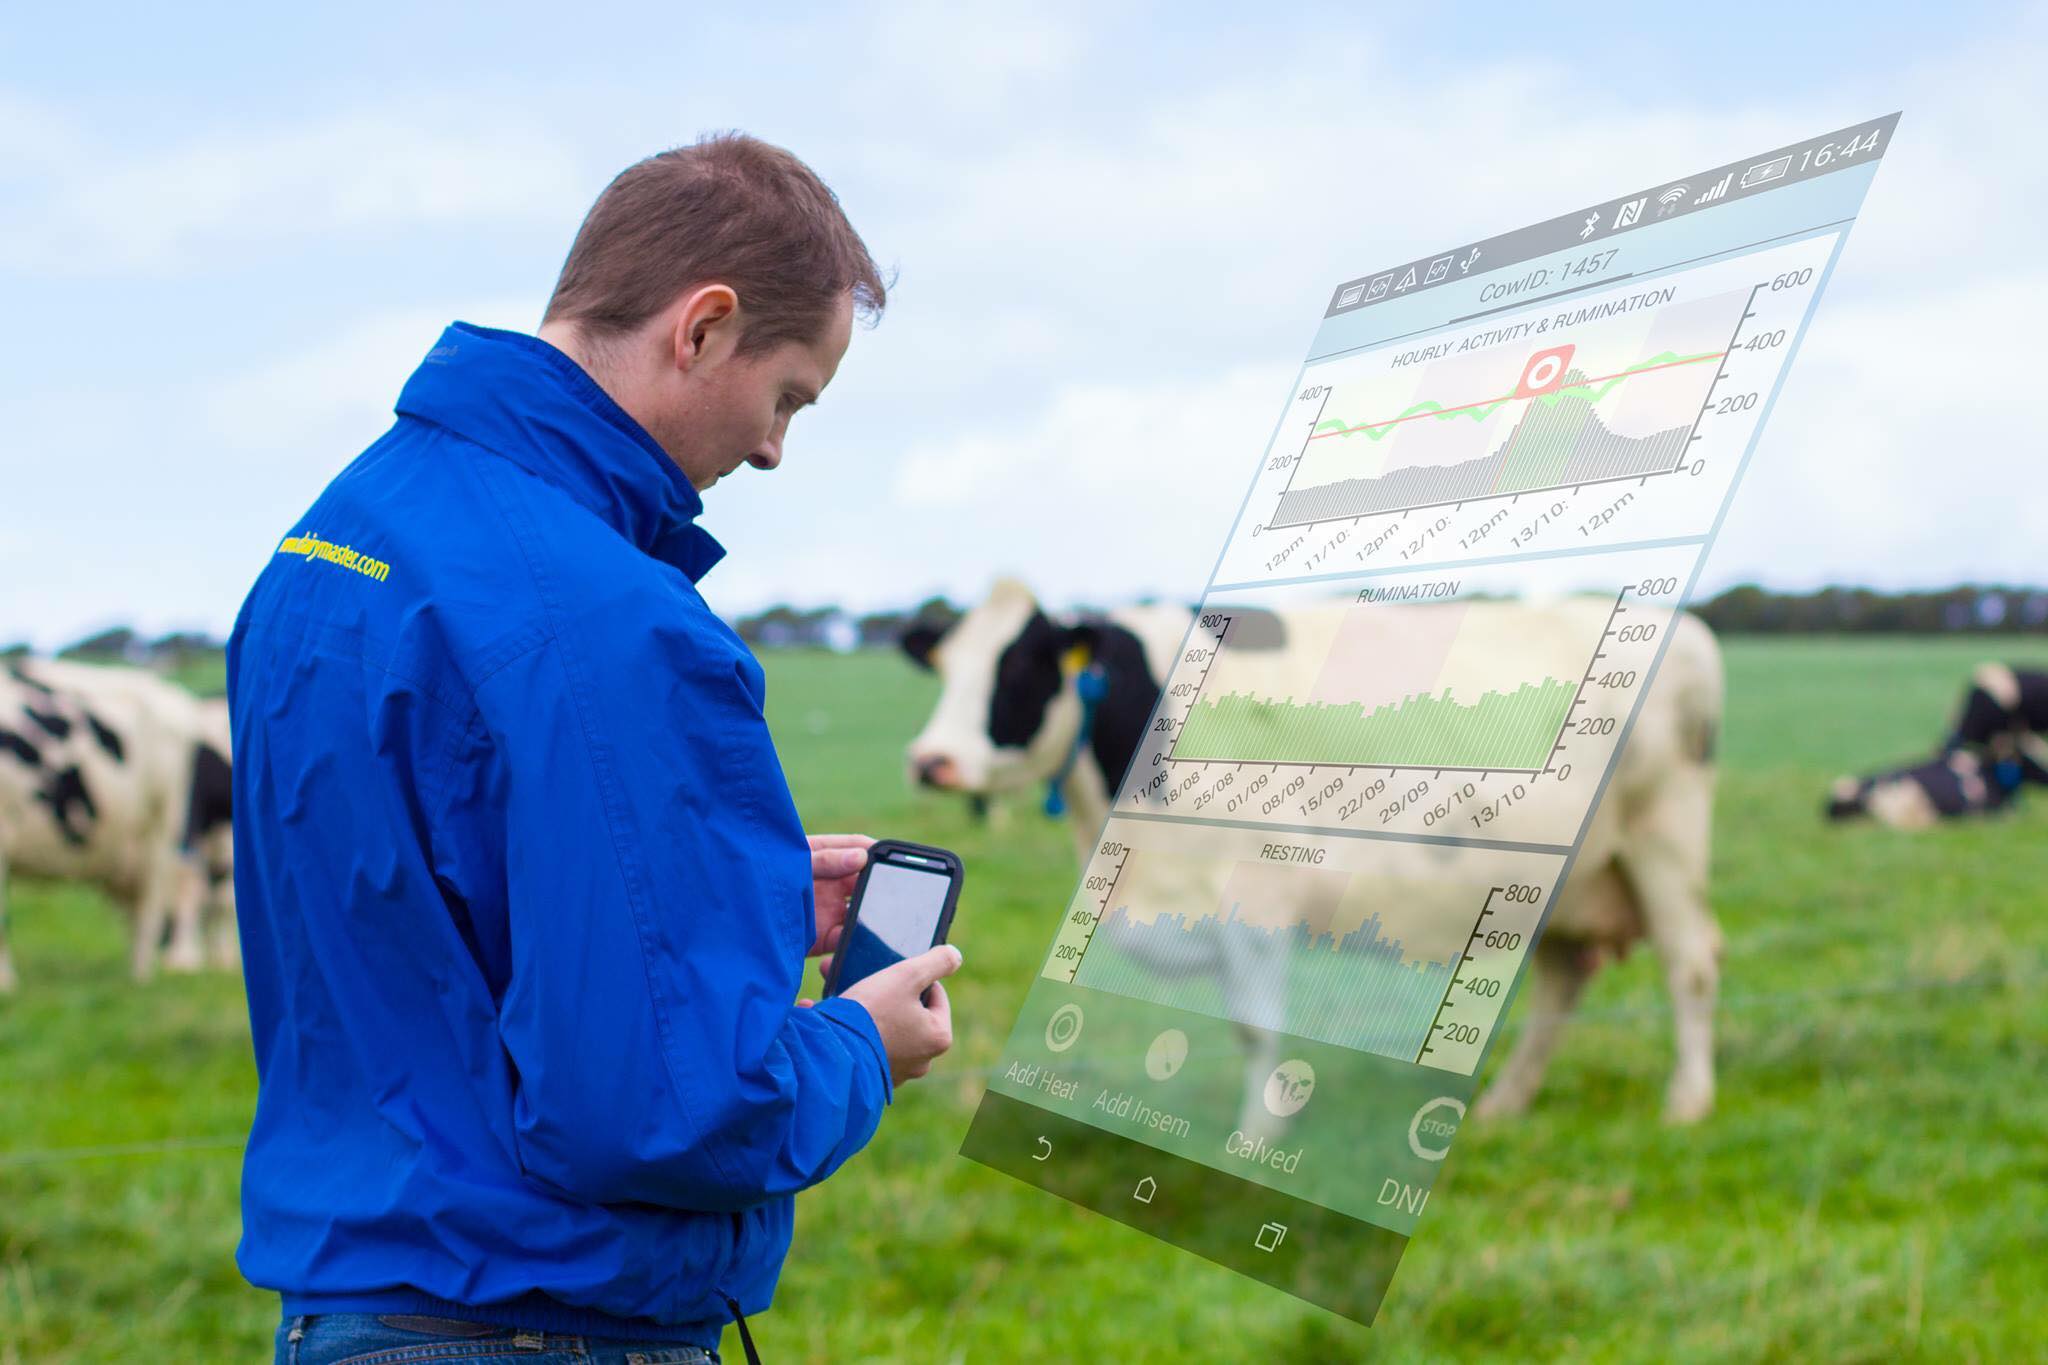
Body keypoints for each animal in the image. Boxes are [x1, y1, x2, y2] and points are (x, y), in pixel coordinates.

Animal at [905, 581, 1720, 1129]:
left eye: (1019, 669)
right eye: (946, 668)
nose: (930, 760)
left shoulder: (1255, 901)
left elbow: (1258, 1029)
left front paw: (1253, 1136)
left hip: (1666, 838)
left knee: (1691, 963)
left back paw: (1687, 1101)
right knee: (1564, 980)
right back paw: (1504, 1104)